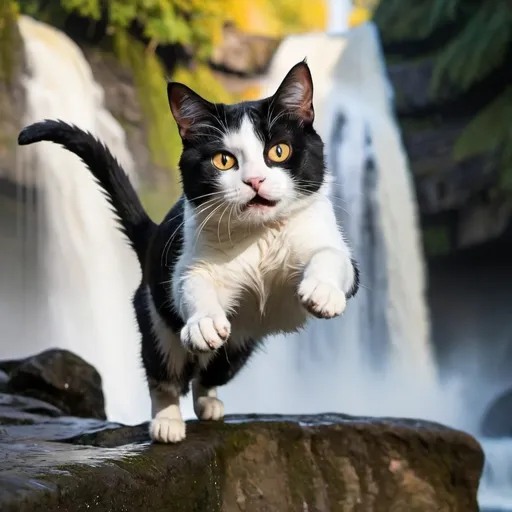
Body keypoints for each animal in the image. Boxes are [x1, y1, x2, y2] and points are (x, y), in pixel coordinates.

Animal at [17, 61, 360, 444]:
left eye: (279, 151)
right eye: (223, 160)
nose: (254, 181)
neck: (259, 237)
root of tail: (152, 238)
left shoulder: (330, 246)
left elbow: (333, 257)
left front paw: (322, 293)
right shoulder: (187, 260)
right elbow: (191, 282)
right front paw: (204, 322)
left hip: (239, 344)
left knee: (209, 374)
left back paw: (208, 404)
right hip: (155, 315)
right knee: (164, 371)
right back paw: (166, 422)